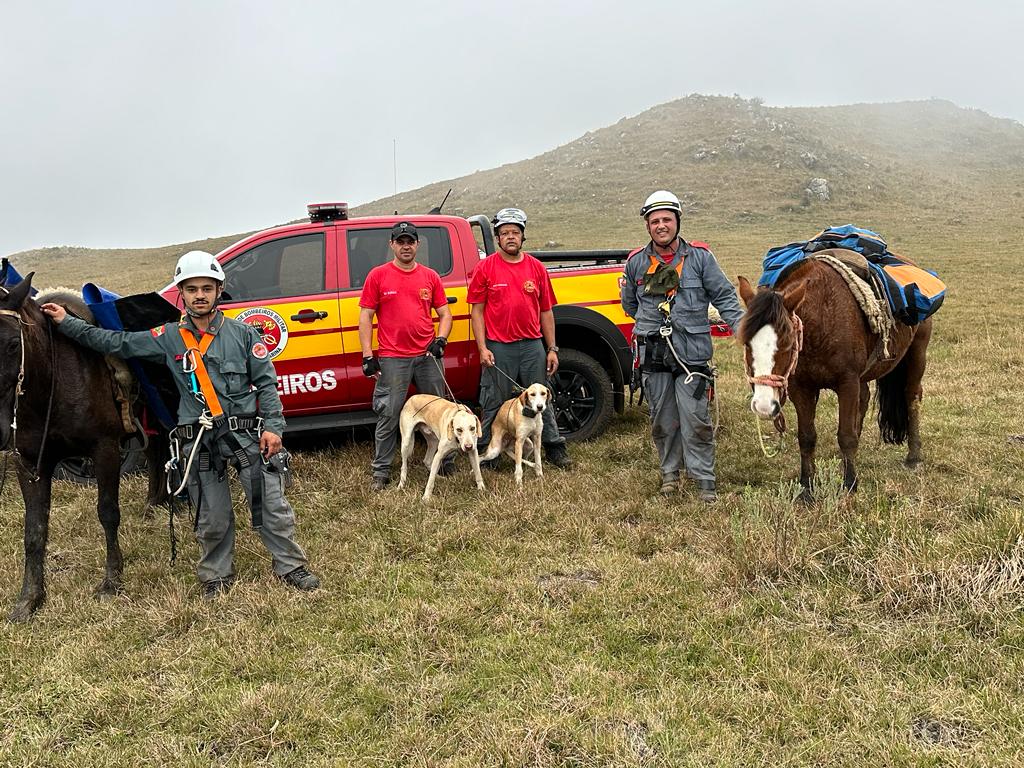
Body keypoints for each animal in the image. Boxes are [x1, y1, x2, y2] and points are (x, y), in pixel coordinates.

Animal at [1, 276, 163, 626]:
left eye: (12, 345)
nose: (0, 428)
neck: (52, 383)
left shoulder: (105, 450)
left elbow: (108, 513)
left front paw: (112, 581)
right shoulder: (30, 465)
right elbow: (34, 531)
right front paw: (29, 599)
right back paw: (153, 503)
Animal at [741, 259, 933, 499]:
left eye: (787, 342)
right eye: (746, 343)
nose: (764, 405)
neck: (822, 318)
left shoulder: (847, 383)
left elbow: (846, 435)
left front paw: (850, 483)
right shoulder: (800, 388)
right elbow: (807, 437)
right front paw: (806, 486)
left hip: (917, 353)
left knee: (912, 396)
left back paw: (914, 457)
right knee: (864, 399)